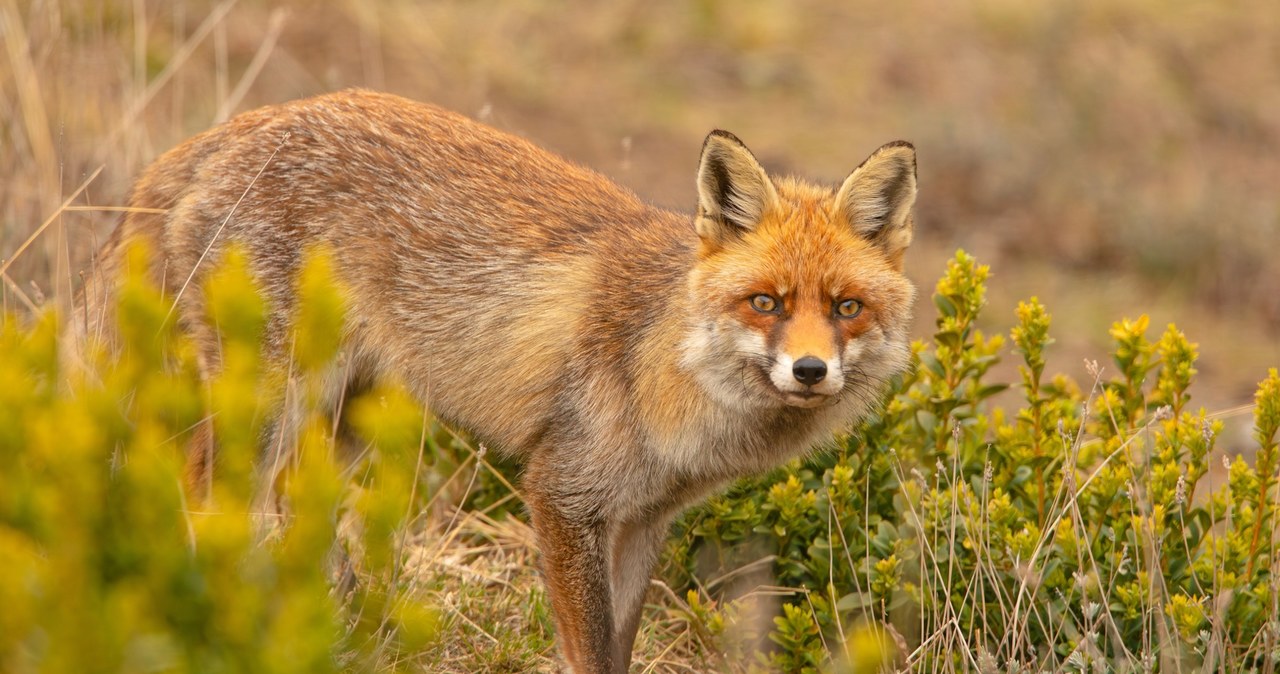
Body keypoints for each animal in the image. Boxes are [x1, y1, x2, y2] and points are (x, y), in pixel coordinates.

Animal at [74, 90, 921, 674]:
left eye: (846, 308)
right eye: (765, 303)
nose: (809, 370)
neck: (666, 363)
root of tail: (234, 127)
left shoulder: (642, 520)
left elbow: (619, 645)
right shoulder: (562, 492)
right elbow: (589, 654)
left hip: (348, 414)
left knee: (289, 503)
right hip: (275, 399)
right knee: (199, 485)